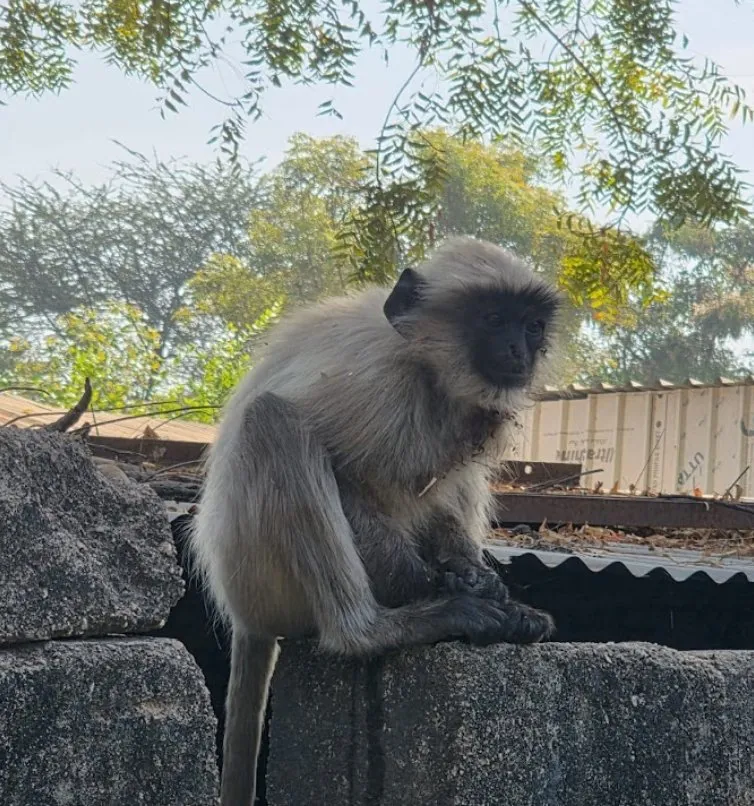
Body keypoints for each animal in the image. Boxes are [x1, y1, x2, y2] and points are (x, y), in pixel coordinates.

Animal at [190, 235, 561, 806]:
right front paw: (434, 585)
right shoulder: (376, 386)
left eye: (532, 325)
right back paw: (377, 628)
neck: (427, 368)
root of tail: (243, 613)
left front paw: (477, 578)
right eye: (494, 319)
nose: (520, 352)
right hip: (264, 577)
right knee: (273, 421)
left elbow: (444, 492)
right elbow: (342, 472)